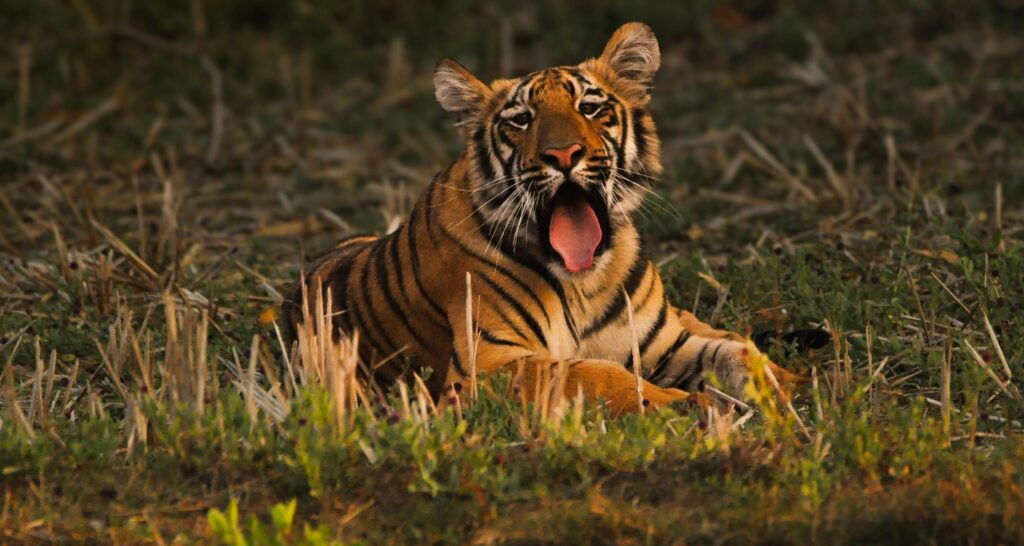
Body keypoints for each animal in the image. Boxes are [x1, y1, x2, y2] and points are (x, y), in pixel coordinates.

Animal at [283, 23, 811, 414]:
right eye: (521, 120)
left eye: (591, 108)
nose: (563, 154)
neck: (587, 280)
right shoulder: (487, 364)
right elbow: (591, 373)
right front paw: (687, 405)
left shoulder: (662, 341)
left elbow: (736, 354)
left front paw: (788, 385)